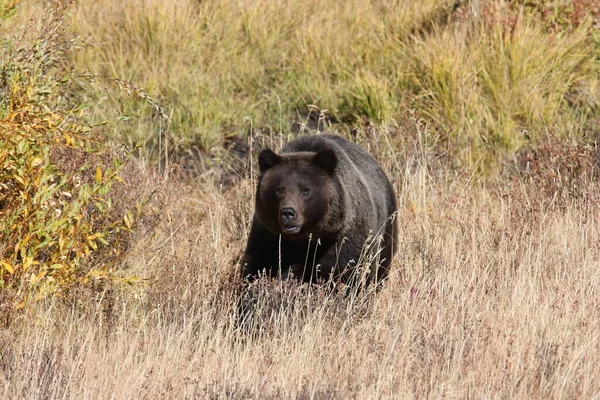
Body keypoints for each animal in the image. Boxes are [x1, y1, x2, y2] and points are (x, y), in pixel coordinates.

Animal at [239, 136, 398, 286]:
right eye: (279, 189)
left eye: (305, 189)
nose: (288, 213)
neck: (307, 240)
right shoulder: (270, 237)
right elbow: (258, 267)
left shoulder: (345, 239)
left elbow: (348, 271)